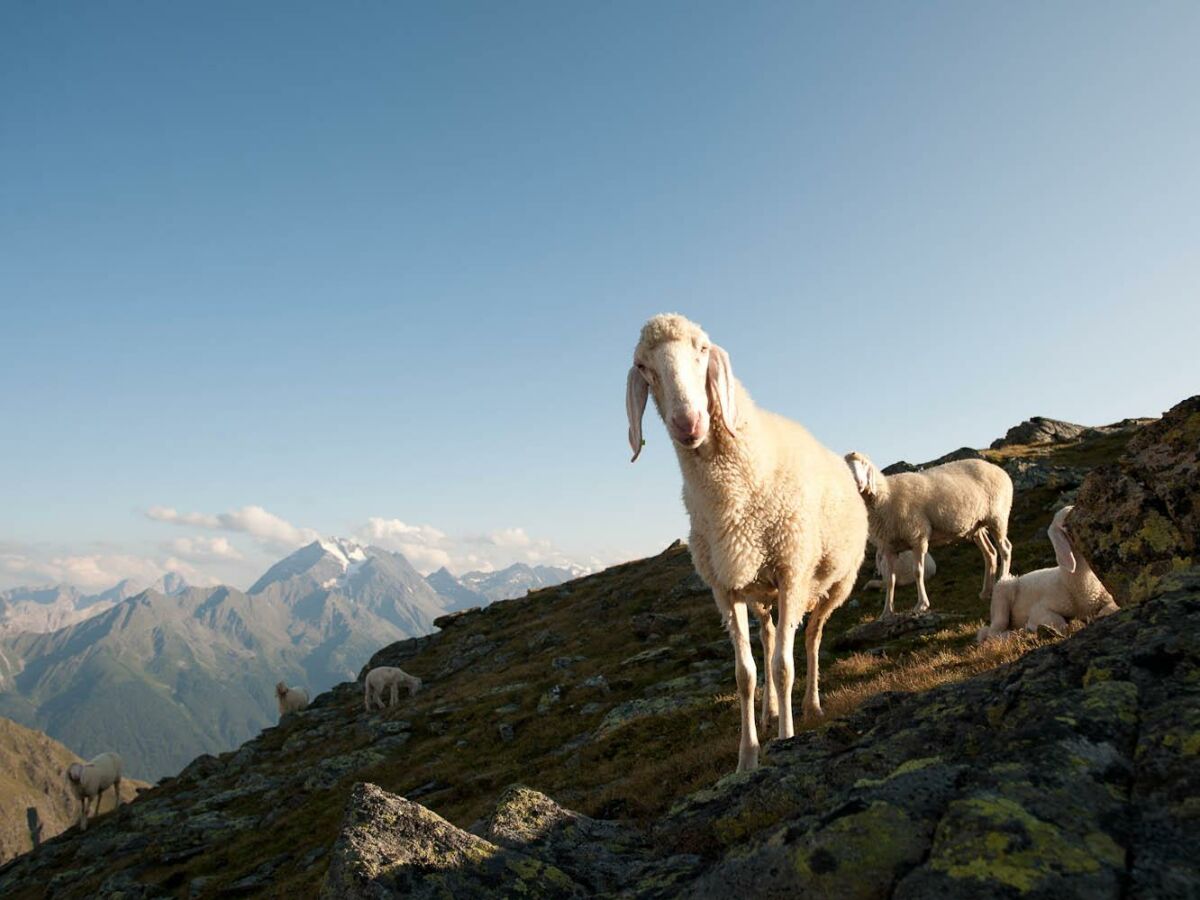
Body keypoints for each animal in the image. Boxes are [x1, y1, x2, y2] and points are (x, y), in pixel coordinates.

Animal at [624, 314, 868, 772]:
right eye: (644, 367)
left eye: (702, 349)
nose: (687, 423)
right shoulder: (725, 589)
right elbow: (747, 674)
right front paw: (747, 757)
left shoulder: (791, 572)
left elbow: (784, 667)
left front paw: (787, 738)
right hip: (759, 590)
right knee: (770, 637)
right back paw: (770, 712)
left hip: (832, 585)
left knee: (810, 639)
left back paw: (809, 706)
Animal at [844, 451, 1012, 619]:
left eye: (864, 464)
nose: (858, 482)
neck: (886, 496)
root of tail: (999, 470)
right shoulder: (888, 547)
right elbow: (891, 580)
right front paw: (887, 612)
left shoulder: (917, 536)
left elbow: (918, 572)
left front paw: (921, 605)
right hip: (977, 525)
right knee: (990, 553)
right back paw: (986, 592)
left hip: (998, 516)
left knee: (1005, 549)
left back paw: (1002, 581)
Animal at [979, 508, 1118, 643]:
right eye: (1064, 526)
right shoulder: (1039, 610)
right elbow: (1058, 621)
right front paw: (1032, 627)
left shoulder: (1108, 597)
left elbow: (1108, 609)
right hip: (1002, 594)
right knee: (992, 634)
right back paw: (1015, 634)